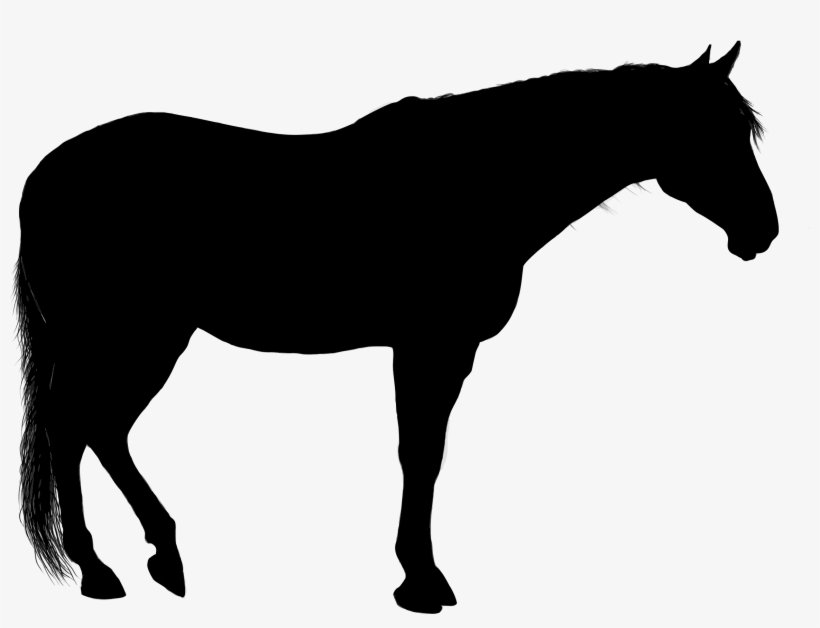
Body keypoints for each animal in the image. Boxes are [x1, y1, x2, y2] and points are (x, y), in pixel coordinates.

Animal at [14, 41, 777, 614]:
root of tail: (45, 176)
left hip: (146, 337)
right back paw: (97, 570)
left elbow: (425, 455)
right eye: (707, 131)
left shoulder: (438, 352)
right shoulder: (429, 348)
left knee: (99, 429)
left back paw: (161, 555)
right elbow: (422, 455)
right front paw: (421, 580)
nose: (762, 231)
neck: (478, 181)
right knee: (74, 426)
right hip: (125, 336)